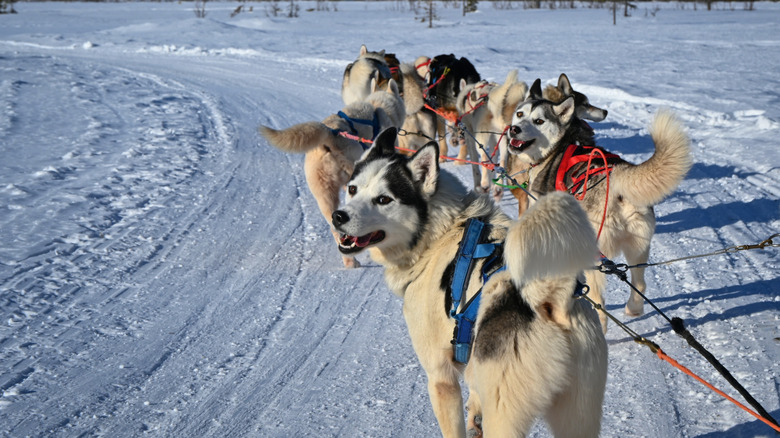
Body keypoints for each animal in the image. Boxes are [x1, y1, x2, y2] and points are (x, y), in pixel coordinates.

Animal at [332, 126, 608, 434]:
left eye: (383, 199)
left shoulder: (441, 377)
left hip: (504, 418)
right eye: (353, 189)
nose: (338, 216)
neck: (440, 231)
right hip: (579, 416)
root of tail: (551, 304)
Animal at [506, 84, 688, 330]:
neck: (559, 146)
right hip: (639, 247)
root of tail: (618, 175)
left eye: (539, 121)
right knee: (640, 284)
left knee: (600, 305)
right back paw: (633, 309)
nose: (514, 129)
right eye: (520, 114)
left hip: (596, 255)